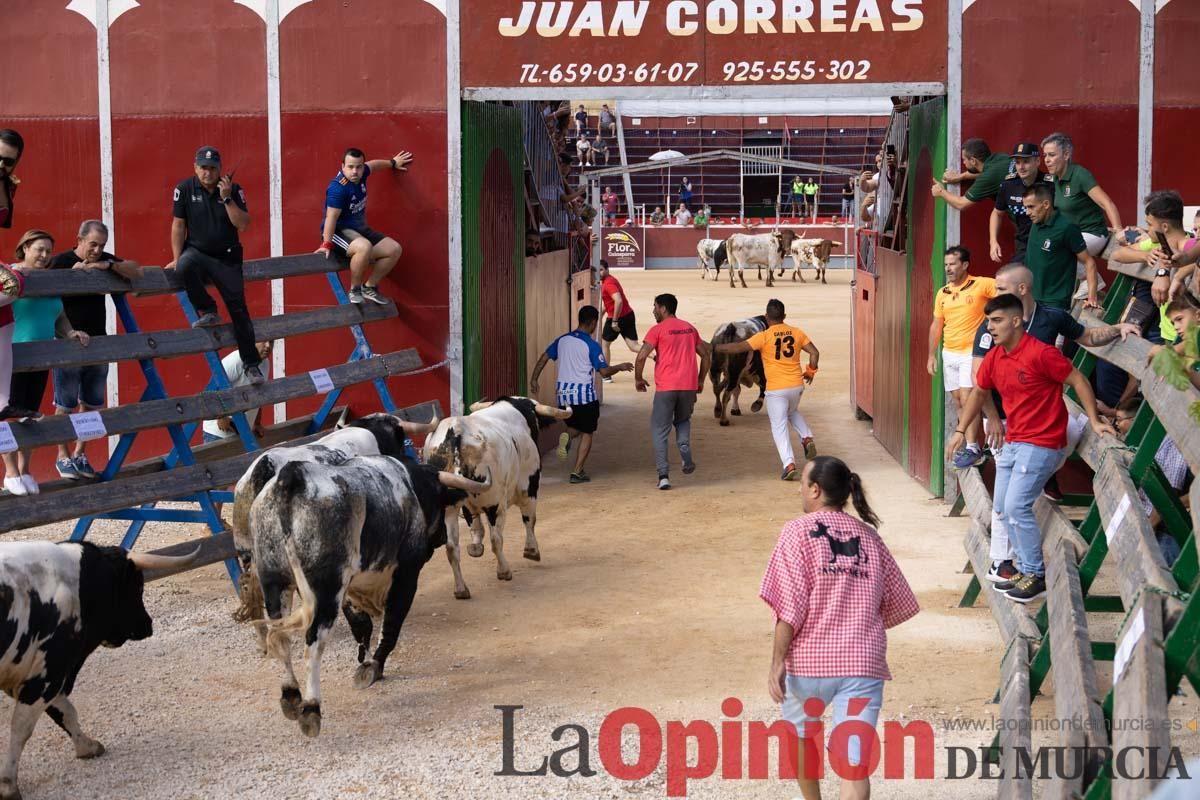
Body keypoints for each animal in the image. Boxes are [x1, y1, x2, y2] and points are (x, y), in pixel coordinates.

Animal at [0, 542, 196, 796]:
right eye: (138, 585)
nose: (148, 625)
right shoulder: (47, 673)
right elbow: (22, 728)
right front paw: (8, 785)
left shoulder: (40, 674)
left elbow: (65, 712)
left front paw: (87, 746)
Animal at [250, 455, 489, 738]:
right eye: (438, 499)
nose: (441, 536)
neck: (411, 485)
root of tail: (293, 476)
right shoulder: (406, 574)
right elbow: (391, 625)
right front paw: (374, 666)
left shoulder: (353, 589)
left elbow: (362, 626)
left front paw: (365, 661)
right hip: (326, 591)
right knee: (313, 644)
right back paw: (311, 708)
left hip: (274, 582)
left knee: (281, 637)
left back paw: (290, 694)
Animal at [422, 393, 571, 599]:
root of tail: (456, 431)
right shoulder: (529, 487)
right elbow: (529, 520)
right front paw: (532, 550)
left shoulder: (467, 503)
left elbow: (475, 526)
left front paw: (475, 548)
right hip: (495, 503)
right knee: (496, 538)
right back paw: (504, 571)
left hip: (449, 508)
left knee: (452, 547)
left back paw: (461, 589)